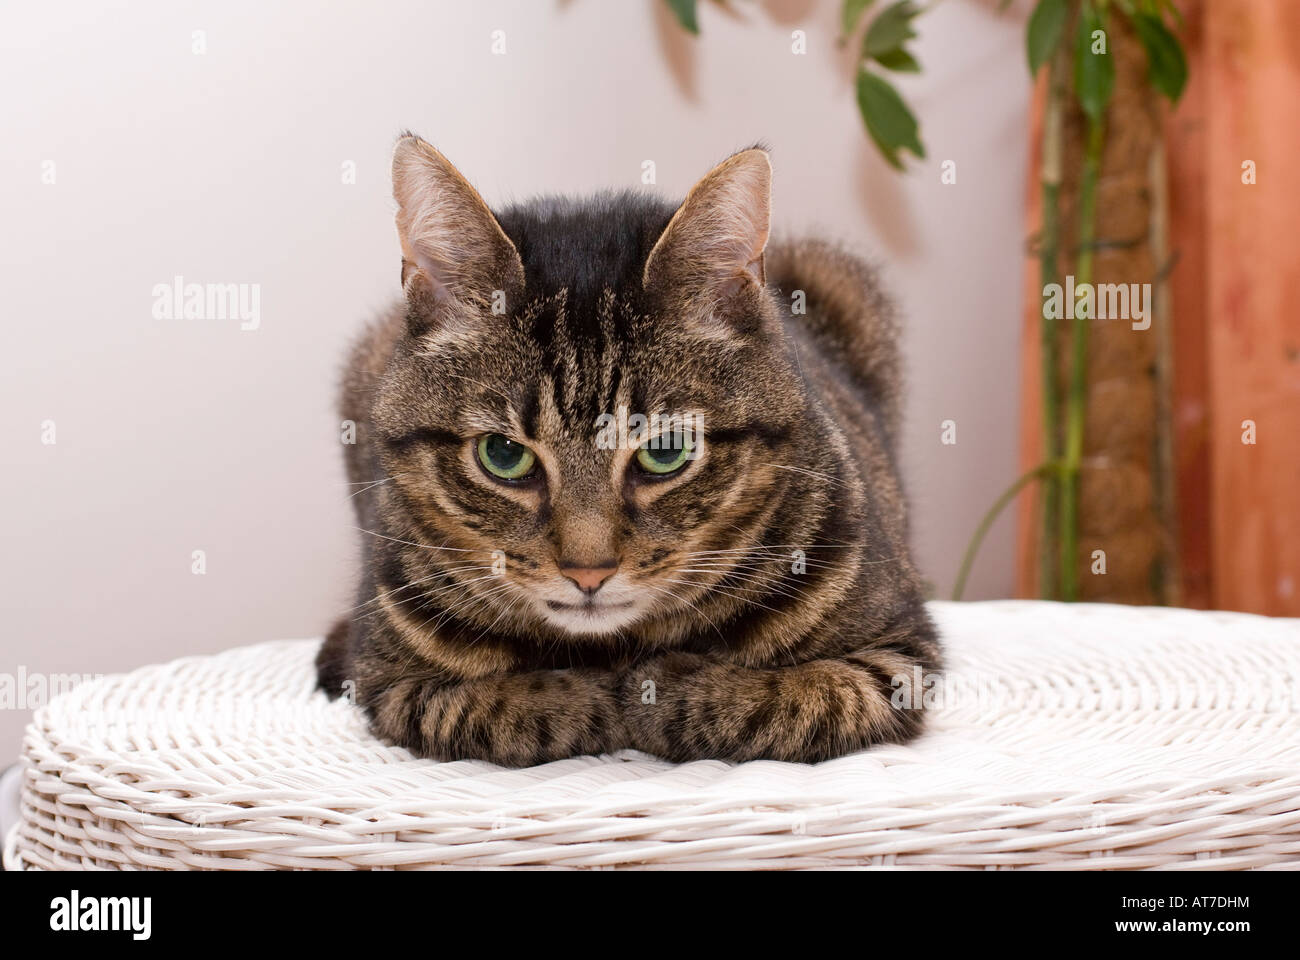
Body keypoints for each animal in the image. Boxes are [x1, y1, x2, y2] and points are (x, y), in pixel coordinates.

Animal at [318, 132, 941, 764]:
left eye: (665, 451)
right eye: (503, 455)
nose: (588, 573)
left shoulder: (899, 657)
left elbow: (786, 696)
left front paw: (661, 685)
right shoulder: (388, 681)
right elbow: (500, 705)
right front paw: (592, 694)